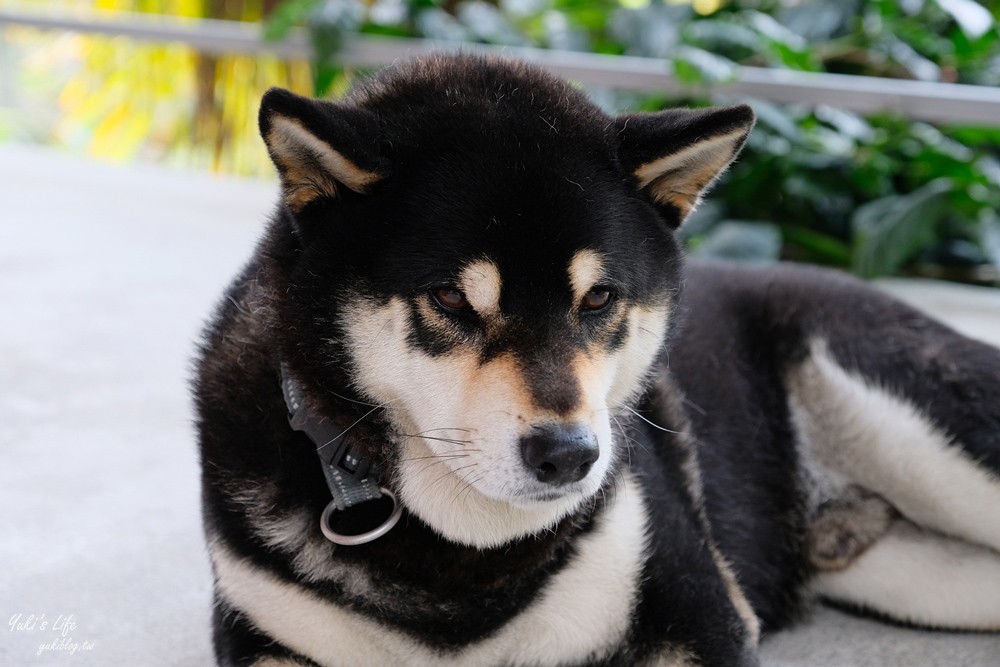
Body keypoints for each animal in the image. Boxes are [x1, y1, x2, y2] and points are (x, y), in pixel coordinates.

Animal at [195, 53, 1000, 667]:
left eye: (600, 296)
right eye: (451, 298)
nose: (569, 455)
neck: (466, 556)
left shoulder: (701, 614)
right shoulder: (265, 635)